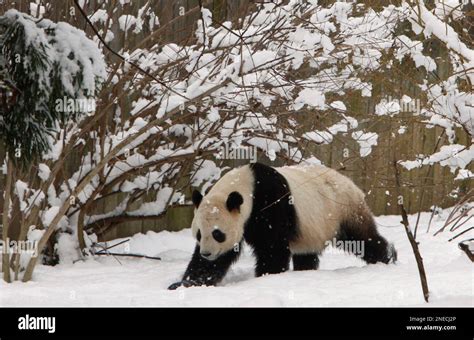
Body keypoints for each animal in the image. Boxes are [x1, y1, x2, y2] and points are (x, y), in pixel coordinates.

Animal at [168, 163, 396, 290]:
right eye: (199, 234)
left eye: (218, 234)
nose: (207, 253)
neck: (247, 185)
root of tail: (353, 184)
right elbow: (216, 261)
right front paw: (183, 284)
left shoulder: (271, 203)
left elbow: (272, 248)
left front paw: (266, 277)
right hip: (313, 227)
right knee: (307, 254)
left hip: (342, 210)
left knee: (361, 238)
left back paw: (388, 257)